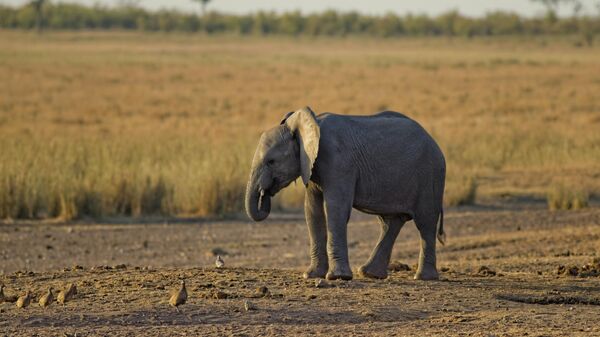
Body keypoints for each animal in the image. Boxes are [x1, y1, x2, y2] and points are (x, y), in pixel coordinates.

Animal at [244, 106, 446, 280]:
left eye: (271, 161)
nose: (264, 194)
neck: (308, 125)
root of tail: (435, 143)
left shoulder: (338, 161)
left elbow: (336, 210)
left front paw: (337, 277)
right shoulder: (311, 165)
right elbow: (312, 211)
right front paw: (311, 275)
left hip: (430, 175)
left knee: (425, 222)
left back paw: (423, 277)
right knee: (391, 222)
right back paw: (369, 273)